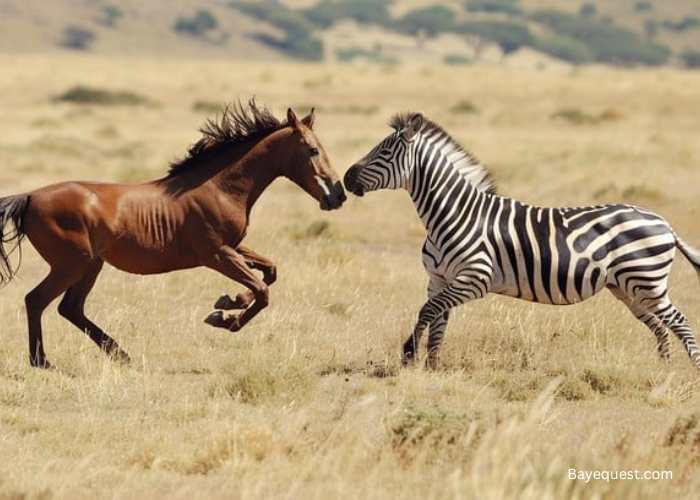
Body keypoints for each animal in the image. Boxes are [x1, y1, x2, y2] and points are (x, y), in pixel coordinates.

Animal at [0, 99, 346, 368]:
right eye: (313, 151)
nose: (337, 195)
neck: (221, 187)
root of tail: (29, 197)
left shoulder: (235, 247)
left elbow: (269, 272)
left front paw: (227, 302)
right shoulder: (217, 254)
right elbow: (262, 290)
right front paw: (224, 317)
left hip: (90, 265)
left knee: (69, 308)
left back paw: (121, 355)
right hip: (73, 264)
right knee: (37, 300)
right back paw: (42, 361)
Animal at [343, 112, 700, 369]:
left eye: (384, 151)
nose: (346, 178)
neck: (453, 215)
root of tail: (664, 222)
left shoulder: (476, 279)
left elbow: (428, 312)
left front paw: (409, 354)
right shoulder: (438, 279)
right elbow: (436, 320)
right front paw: (430, 364)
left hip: (647, 282)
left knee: (680, 322)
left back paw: (691, 371)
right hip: (627, 288)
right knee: (658, 325)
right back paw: (662, 369)